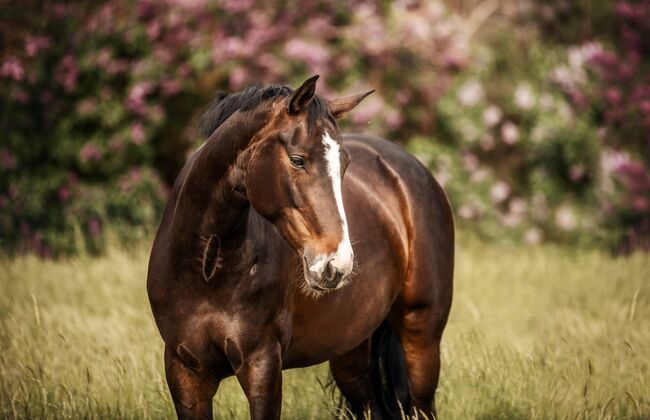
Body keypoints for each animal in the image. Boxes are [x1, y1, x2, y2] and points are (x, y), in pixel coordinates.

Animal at [146, 75, 450, 420]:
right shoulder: (185, 371)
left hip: (421, 338)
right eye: (297, 159)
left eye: (345, 164)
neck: (207, 269)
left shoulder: (262, 365)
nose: (337, 264)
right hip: (351, 352)